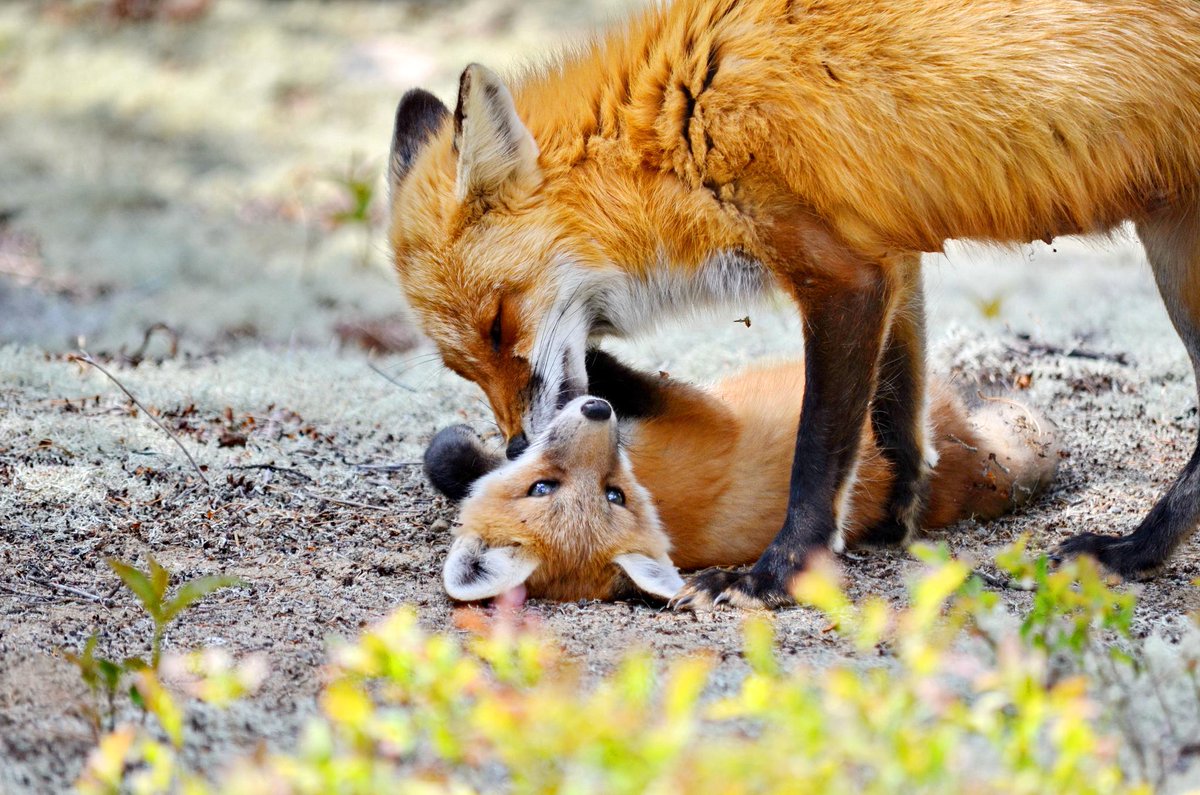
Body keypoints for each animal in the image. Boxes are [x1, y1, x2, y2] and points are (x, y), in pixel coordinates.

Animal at [427, 353, 1056, 605]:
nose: (596, 410)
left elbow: (446, 460)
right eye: (615, 496)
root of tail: (969, 473)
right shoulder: (699, 416)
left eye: (540, 487)